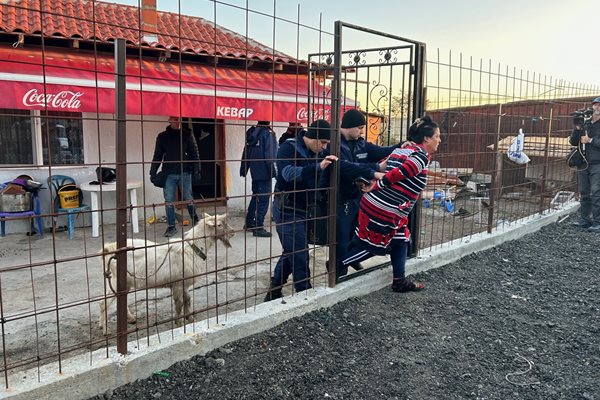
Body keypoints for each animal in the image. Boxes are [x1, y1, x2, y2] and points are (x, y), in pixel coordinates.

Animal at [98, 212, 232, 334]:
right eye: (219, 224)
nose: (232, 232)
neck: (193, 248)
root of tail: (107, 249)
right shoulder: (178, 284)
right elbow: (179, 304)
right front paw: (179, 323)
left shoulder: (184, 284)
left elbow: (188, 299)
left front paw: (190, 318)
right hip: (117, 280)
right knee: (103, 303)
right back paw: (106, 330)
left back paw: (127, 319)